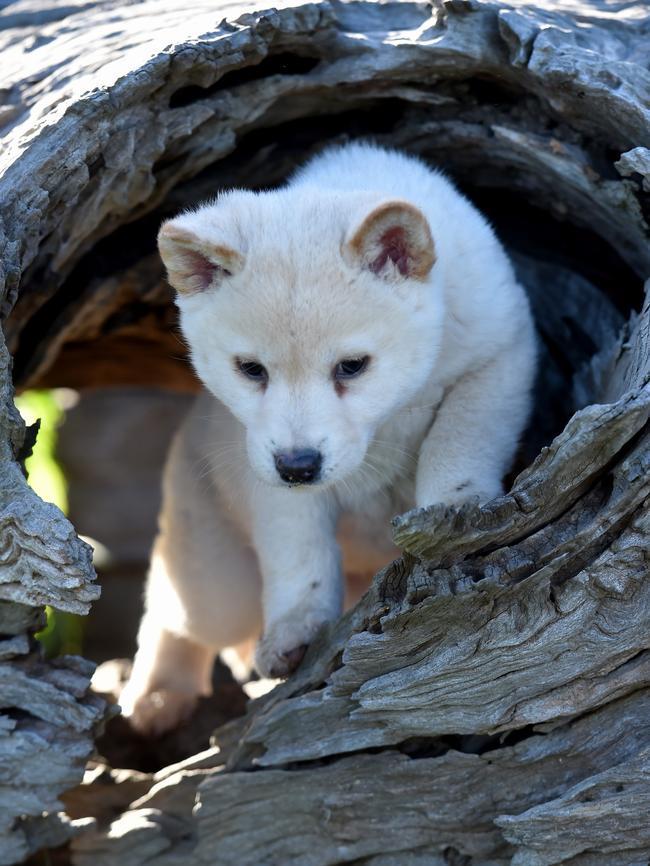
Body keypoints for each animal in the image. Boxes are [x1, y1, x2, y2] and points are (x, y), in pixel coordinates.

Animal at [119, 143, 536, 736]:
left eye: (352, 366)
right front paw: (296, 631)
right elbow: (300, 555)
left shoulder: (496, 358)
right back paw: (156, 695)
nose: (299, 466)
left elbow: (458, 441)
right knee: (176, 615)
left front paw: (455, 508)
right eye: (251, 369)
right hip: (216, 571)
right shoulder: (262, 466)